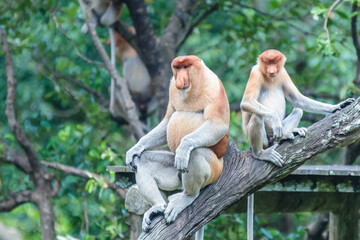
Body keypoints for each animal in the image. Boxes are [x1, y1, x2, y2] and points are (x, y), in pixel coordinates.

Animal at [125, 55, 229, 232]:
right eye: (177, 68)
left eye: (186, 67)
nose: (180, 79)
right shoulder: (171, 87)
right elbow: (168, 120)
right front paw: (134, 149)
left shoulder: (214, 87)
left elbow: (218, 125)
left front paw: (184, 148)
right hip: (175, 173)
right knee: (143, 161)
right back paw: (157, 207)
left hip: (215, 170)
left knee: (195, 154)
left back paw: (187, 196)